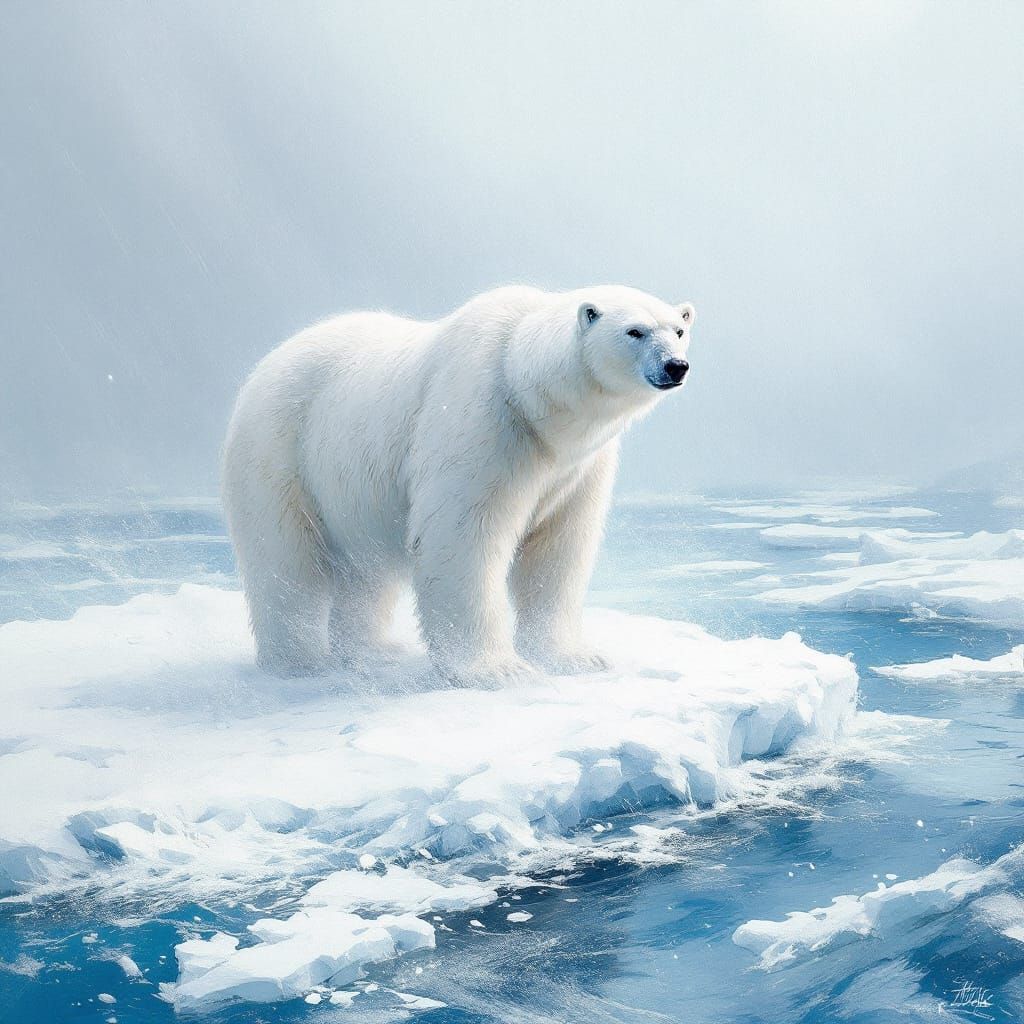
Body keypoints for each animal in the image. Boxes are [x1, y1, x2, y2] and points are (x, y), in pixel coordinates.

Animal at [221, 285, 695, 683]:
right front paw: (496, 670)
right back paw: (298, 660)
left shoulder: (578, 467)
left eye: (679, 329)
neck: (530, 393)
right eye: (634, 331)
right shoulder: (482, 422)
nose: (676, 366)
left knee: (367, 570)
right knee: (284, 559)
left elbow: (558, 549)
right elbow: (463, 534)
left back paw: (372, 647)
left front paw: (574, 658)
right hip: (281, 451)